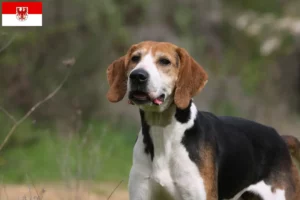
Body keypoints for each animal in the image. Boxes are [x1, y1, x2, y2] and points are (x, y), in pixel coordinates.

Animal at [105, 41, 300, 200]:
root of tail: (280, 138)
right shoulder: (141, 193)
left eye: (164, 61)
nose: (137, 75)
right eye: (135, 58)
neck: (163, 130)